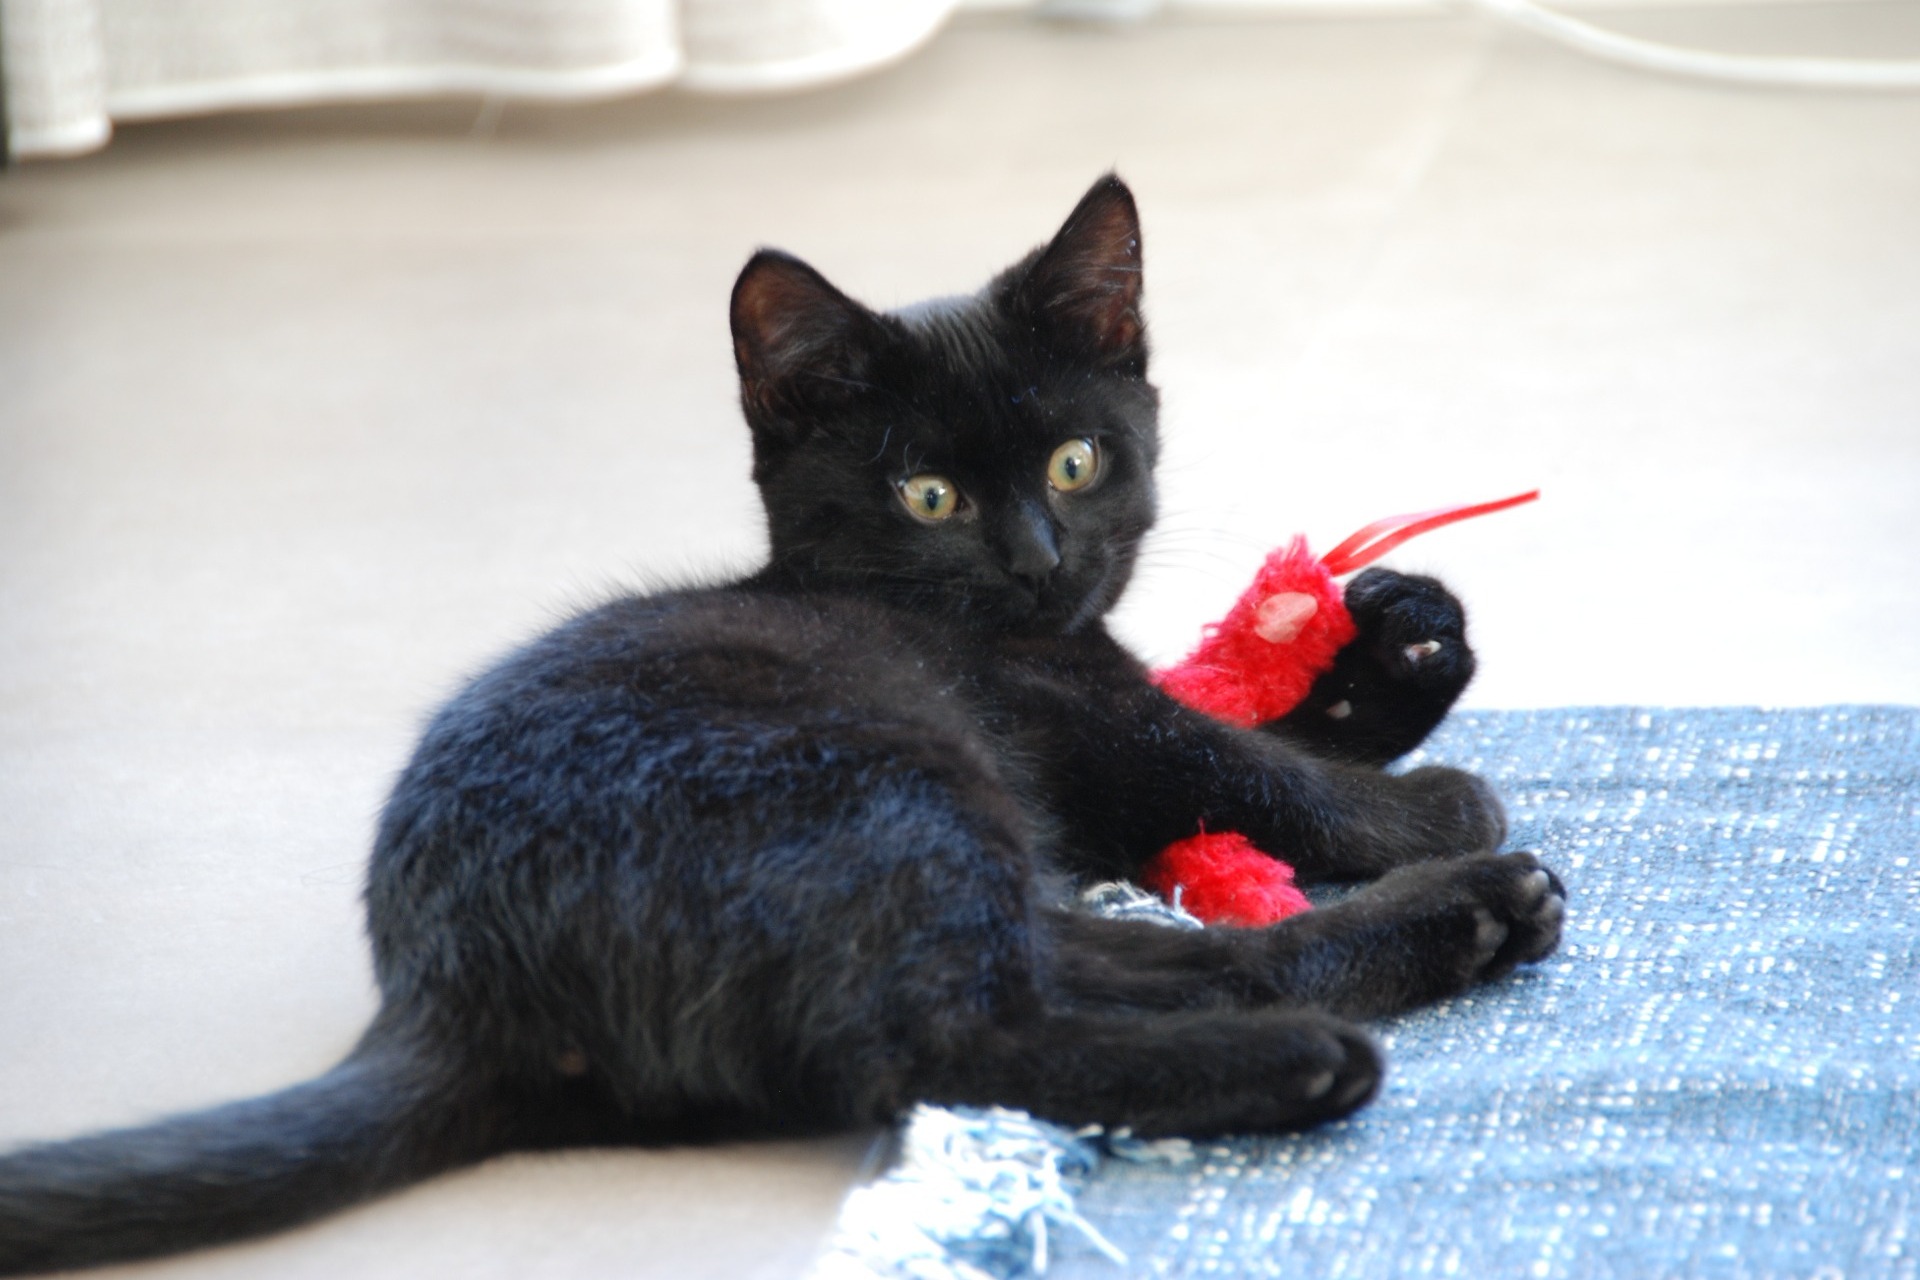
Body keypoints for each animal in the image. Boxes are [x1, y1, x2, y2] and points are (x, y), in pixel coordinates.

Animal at [0, 174, 1564, 1275]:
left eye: (1078, 458)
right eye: (927, 494)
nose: (1037, 559)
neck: (1009, 630)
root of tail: (451, 984)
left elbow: (1257, 720)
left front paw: (1404, 639)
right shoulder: (1071, 713)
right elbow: (1236, 759)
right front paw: (1435, 804)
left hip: (946, 832)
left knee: (1103, 964)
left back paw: (1456, 926)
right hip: (889, 785)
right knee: (947, 1044)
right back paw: (1350, 1009)